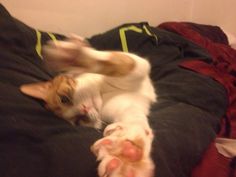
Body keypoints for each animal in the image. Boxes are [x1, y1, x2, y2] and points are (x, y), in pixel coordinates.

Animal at [20, 36, 157, 177]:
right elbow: (134, 122)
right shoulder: (127, 107)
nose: (84, 110)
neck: (102, 93)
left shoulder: (136, 66)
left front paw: (73, 57)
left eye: (64, 99)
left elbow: (115, 62)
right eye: (78, 120)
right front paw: (126, 152)